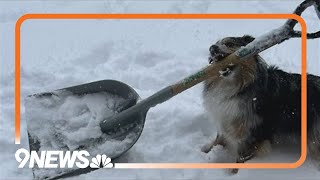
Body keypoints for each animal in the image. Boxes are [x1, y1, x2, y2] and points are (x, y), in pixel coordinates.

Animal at [201, 34, 320, 173]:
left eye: (229, 44)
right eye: (214, 45)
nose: (212, 48)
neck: (238, 88)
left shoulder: (253, 133)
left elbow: (241, 157)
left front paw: (234, 173)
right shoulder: (226, 120)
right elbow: (218, 139)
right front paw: (205, 151)